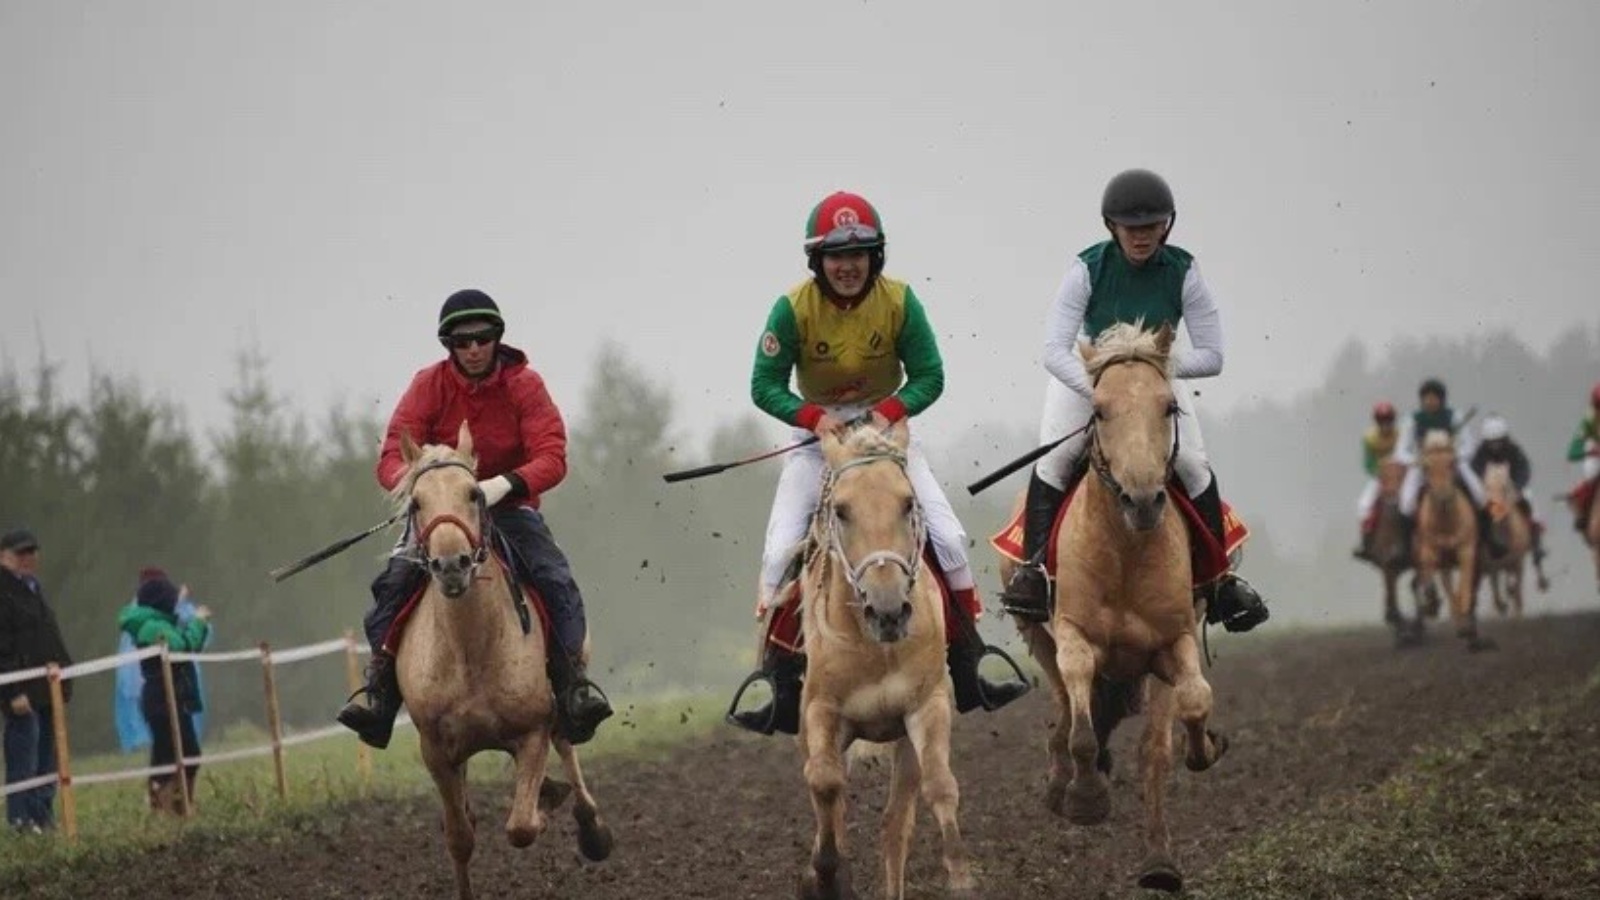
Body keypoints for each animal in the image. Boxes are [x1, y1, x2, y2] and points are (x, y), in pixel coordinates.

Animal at [393, 422, 611, 896]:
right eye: (416, 502)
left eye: (475, 493)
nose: (451, 565)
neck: (470, 649)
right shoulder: (435, 751)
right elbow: (460, 836)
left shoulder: (532, 730)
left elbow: (522, 826)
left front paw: (547, 803)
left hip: (560, 702)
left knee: (567, 744)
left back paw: (591, 829)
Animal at [790, 419, 966, 896]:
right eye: (842, 510)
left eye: (907, 503)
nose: (888, 610)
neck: (875, 646)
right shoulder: (821, 711)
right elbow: (824, 782)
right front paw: (824, 875)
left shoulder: (926, 706)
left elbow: (940, 786)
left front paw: (961, 877)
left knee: (895, 824)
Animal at [998, 323, 1222, 890]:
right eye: (1098, 410)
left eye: (1169, 406)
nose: (1142, 500)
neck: (1126, 551)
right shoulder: (1073, 634)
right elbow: (1079, 724)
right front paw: (1083, 797)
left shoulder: (1173, 640)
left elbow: (1184, 716)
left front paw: (1161, 861)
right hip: (1036, 634)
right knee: (1064, 706)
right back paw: (1064, 779)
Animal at [1420, 432, 1491, 646]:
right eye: (1426, 466)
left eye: (1452, 462)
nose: (1443, 496)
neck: (1447, 522)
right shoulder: (1432, 551)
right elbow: (1433, 579)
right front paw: (1431, 602)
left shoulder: (1467, 550)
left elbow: (1465, 586)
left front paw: (1466, 624)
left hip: (1478, 558)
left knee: (1471, 586)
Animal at [1472, 461, 1536, 614]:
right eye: (1486, 485)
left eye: (1505, 486)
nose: (1494, 508)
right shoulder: (1492, 567)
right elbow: (1496, 593)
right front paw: (1502, 606)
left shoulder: (1518, 564)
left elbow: (1517, 594)